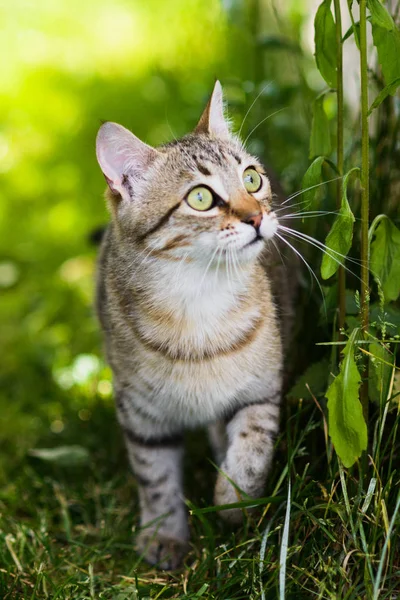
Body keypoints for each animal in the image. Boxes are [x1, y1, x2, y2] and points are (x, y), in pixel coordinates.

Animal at [95, 82, 292, 568]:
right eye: (200, 198)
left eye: (251, 179)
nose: (257, 217)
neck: (199, 301)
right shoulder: (141, 415)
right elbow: (155, 477)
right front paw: (164, 534)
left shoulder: (261, 390)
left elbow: (253, 449)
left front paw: (233, 500)